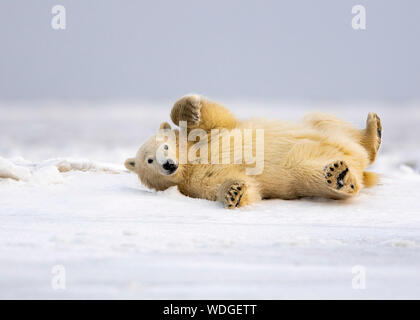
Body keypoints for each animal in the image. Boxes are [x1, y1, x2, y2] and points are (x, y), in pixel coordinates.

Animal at [124, 94, 380, 209]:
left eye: (165, 146)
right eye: (149, 160)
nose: (168, 164)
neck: (191, 162)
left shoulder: (209, 137)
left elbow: (216, 118)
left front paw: (190, 109)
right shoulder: (195, 182)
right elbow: (231, 184)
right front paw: (233, 192)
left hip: (319, 127)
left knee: (326, 120)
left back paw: (372, 131)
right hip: (301, 168)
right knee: (311, 173)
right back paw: (339, 176)